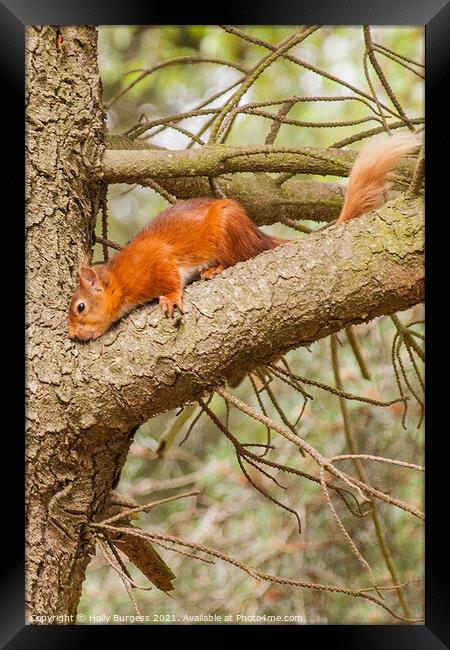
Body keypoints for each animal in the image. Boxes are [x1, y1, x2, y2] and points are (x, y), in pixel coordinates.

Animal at [68, 134, 420, 342]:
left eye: (80, 307)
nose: (71, 335)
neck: (119, 279)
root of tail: (256, 235)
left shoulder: (156, 260)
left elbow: (170, 280)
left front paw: (169, 298)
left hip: (229, 233)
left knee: (240, 257)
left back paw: (216, 268)